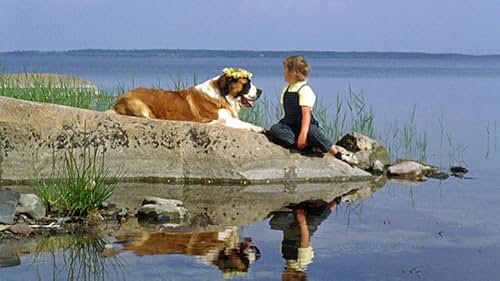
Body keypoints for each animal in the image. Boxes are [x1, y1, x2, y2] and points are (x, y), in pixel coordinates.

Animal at [113, 67, 266, 132]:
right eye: (247, 85)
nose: (260, 91)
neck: (222, 95)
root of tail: (120, 99)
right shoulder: (224, 119)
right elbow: (244, 123)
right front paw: (258, 128)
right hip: (140, 107)